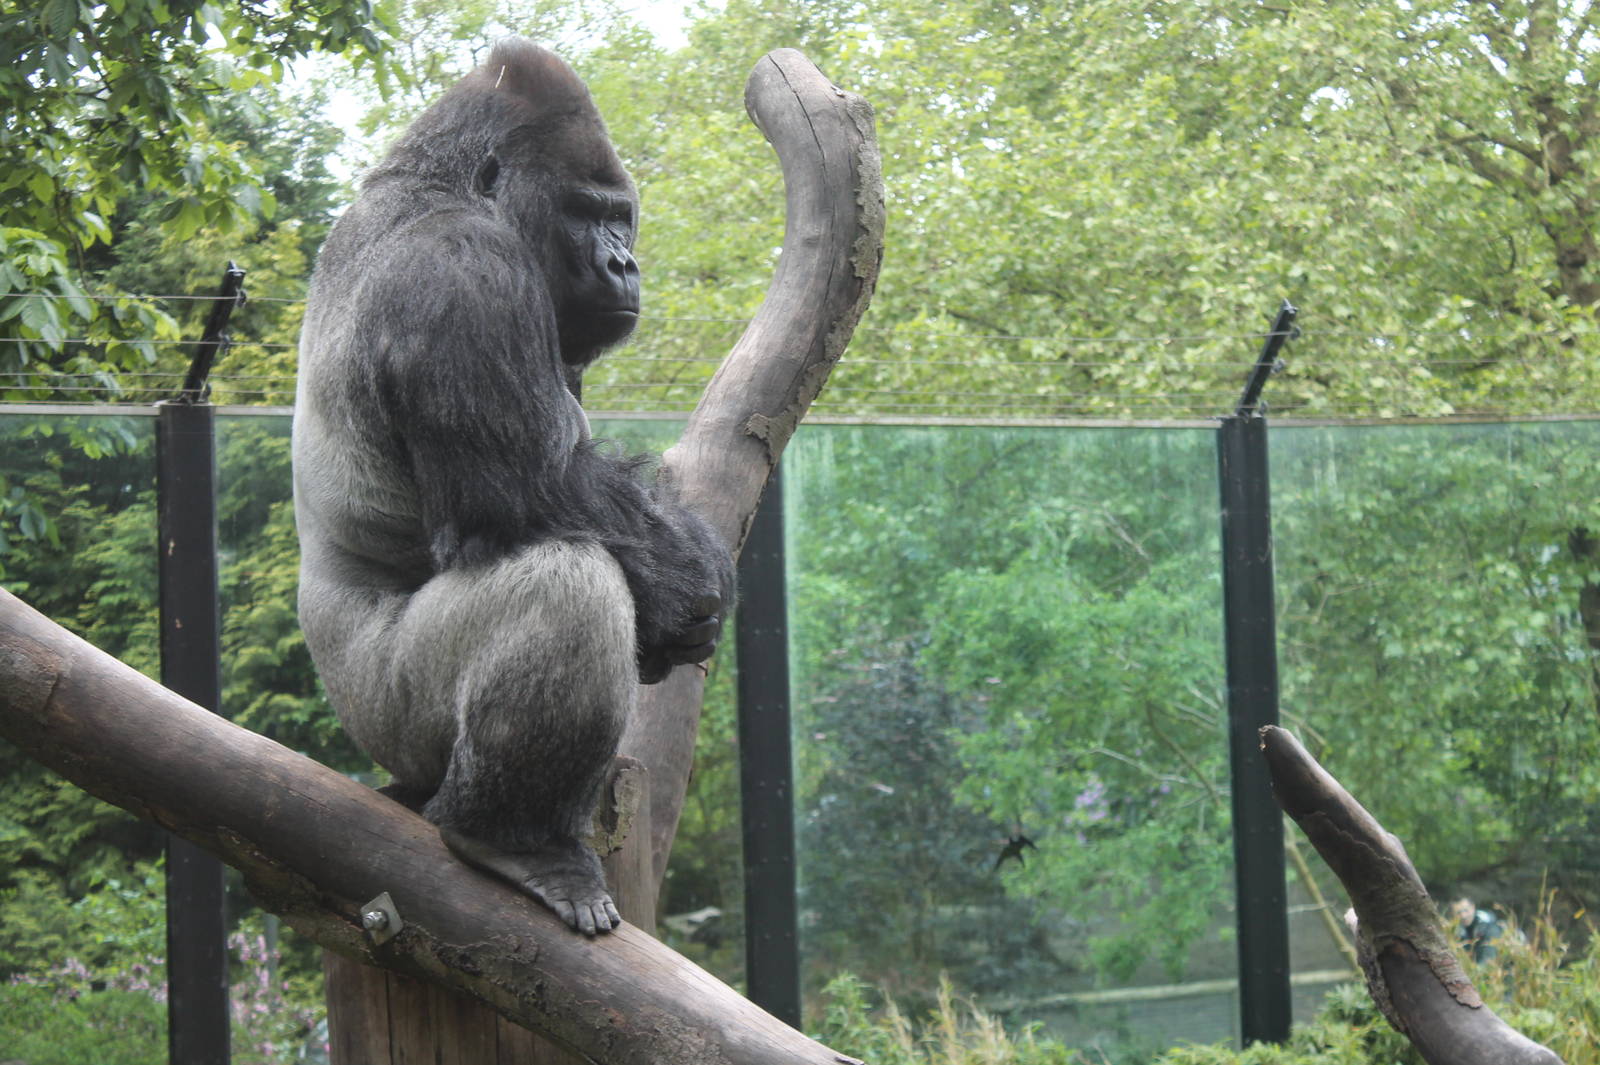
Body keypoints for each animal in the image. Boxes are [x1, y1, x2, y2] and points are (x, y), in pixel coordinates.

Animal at [292, 39, 734, 935]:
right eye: (587, 213)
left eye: (622, 217)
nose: (624, 262)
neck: (432, 184)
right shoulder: (466, 266)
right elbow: (527, 495)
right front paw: (689, 577)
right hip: (387, 710)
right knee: (566, 583)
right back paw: (511, 837)